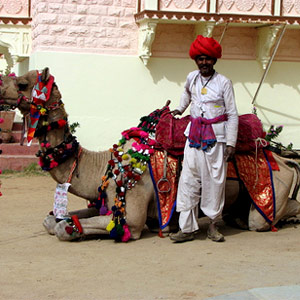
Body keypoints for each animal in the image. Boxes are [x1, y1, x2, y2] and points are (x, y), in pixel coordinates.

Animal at [0, 68, 300, 241]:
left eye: (23, 83)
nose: (1, 84)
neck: (104, 164)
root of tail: (284, 160)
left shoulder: (132, 215)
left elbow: (65, 228)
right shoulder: (103, 200)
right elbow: (51, 220)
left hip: (270, 193)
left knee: (264, 218)